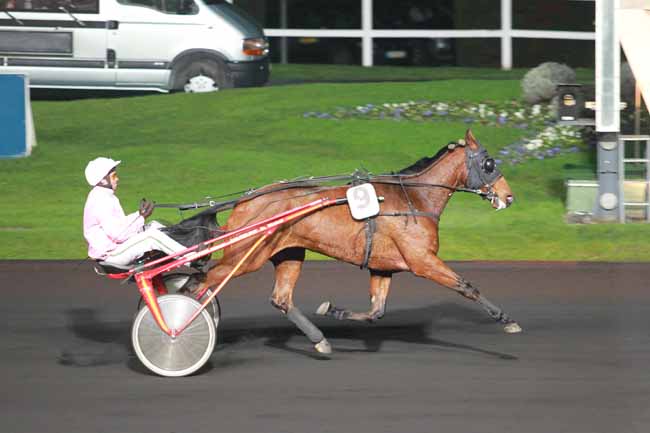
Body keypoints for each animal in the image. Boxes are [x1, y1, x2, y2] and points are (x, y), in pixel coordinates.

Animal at [195, 130, 520, 352]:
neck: (414, 198)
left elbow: (376, 311)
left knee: (281, 298)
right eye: (489, 163)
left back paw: (319, 340)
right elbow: (466, 286)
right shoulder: (423, 261)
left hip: (289, 253)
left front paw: (333, 310)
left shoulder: (383, 267)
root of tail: (245, 201)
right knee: (204, 282)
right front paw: (506, 319)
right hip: (245, 257)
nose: (508, 197)